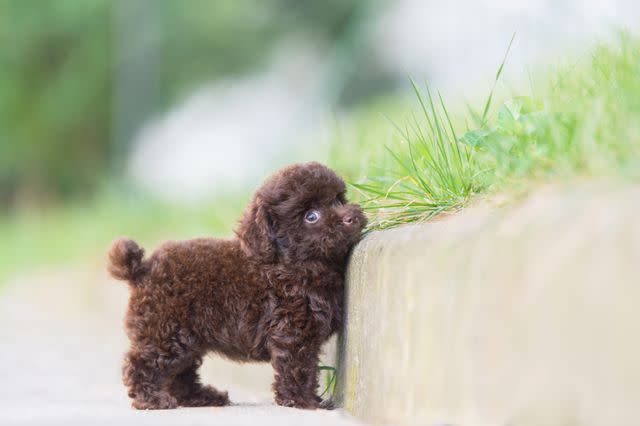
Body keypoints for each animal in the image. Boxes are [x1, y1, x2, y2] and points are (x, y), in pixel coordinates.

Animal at [109, 162, 364, 410]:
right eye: (311, 216)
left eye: (338, 200)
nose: (351, 218)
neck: (295, 262)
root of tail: (142, 269)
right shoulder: (293, 331)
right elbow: (298, 367)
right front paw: (303, 401)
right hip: (165, 330)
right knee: (143, 363)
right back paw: (151, 400)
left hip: (186, 338)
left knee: (181, 373)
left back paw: (201, 397)